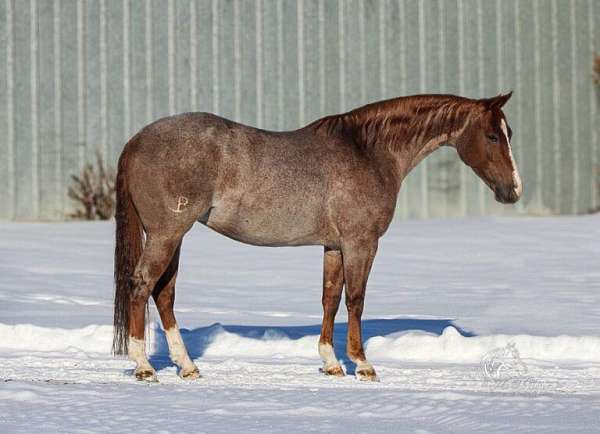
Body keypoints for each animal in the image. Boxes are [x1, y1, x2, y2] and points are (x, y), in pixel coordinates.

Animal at [111, 90, 520, 380]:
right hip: (166, 234)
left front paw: (331, 363)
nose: (513, 191)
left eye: (509, 133)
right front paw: (362, 364)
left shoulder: (333, 247)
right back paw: (144, 366)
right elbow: (355, 300)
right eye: (491, 136)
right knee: (141, 285)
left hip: (173, 236)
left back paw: (187, 366)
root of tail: (135, 140)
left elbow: (330, 299)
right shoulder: (360, 243)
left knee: (164, 294)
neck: (369, 152)